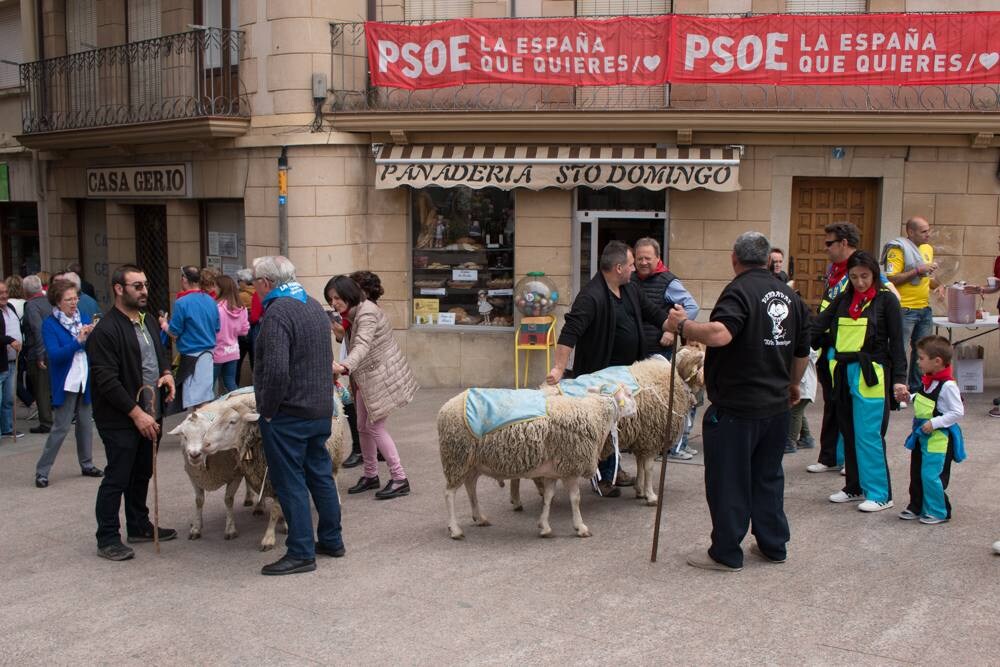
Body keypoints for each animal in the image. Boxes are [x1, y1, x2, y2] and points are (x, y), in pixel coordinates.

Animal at [197, 396, 350, 552]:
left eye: (232, 421)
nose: (205, 444)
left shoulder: (278, 476)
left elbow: (276, 510)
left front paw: (269, 538)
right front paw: (285, 523)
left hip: (336, 451)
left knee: (333, 476)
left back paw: (337, 500)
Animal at [436, 380, 632, 544]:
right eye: (629, 394)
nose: (636, 408)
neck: (594, 413)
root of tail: (445, 408)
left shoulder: (554, 470)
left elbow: (548, 497)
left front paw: (544, 526)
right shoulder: (570, 466)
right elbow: (575, 499)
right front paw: (580, 527)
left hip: (471, 462)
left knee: (470, 486)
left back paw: (479, 518)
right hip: (457, 457)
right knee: (449, 494)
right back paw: (455, 530)